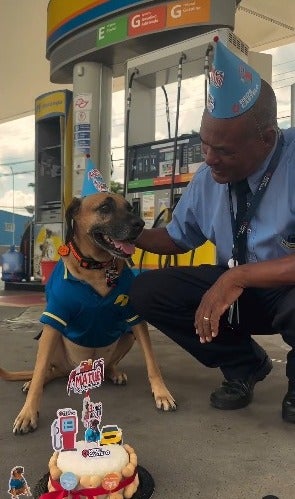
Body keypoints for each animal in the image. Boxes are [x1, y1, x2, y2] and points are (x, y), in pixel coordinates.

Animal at [0, 191, 177, 434]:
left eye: (130, 208)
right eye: (105, 208)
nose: (140, 224)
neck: (97, 267)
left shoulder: (135, 319)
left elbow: (152, 362)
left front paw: (162, 393)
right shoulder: (54, 319)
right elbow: (39, 372)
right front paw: (28, 413)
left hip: (127, 335)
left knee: (108, 363)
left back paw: (113, 372)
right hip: (50, 340)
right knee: (45, 371)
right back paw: (33, 381)